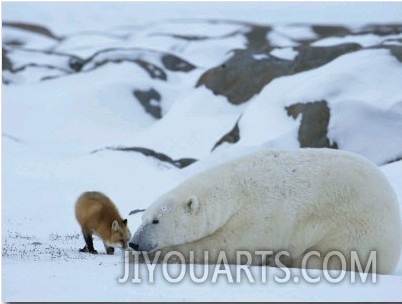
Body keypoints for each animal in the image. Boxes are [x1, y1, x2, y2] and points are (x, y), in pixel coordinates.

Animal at [130, 147, 400, 274]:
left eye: (156, 221)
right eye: (143, 217)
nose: (133, 243)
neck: (236, 190)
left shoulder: (260, 216)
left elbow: (225, 246)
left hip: (357, 228)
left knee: (333, 257)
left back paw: (283, 259)